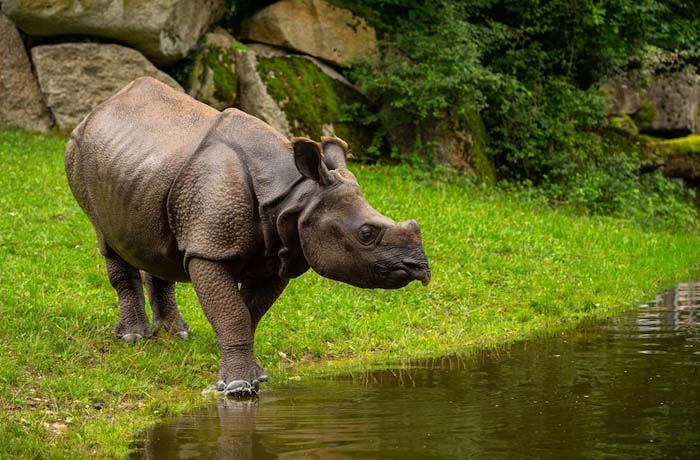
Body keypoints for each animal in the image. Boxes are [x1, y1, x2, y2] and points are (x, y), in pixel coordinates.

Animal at [65, 77, 430, 395]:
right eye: (367, 233)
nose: (421, 269)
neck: (296, 196)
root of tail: (101, 107)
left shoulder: (281, 253)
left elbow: (249, 313)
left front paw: (256, 376)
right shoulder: (210, 250)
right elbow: (234, 313)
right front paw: (238, 388)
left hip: (143, 172)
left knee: (154, 243)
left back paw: (176, 333)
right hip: (77, 151)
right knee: (107, 240)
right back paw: (133, 338)